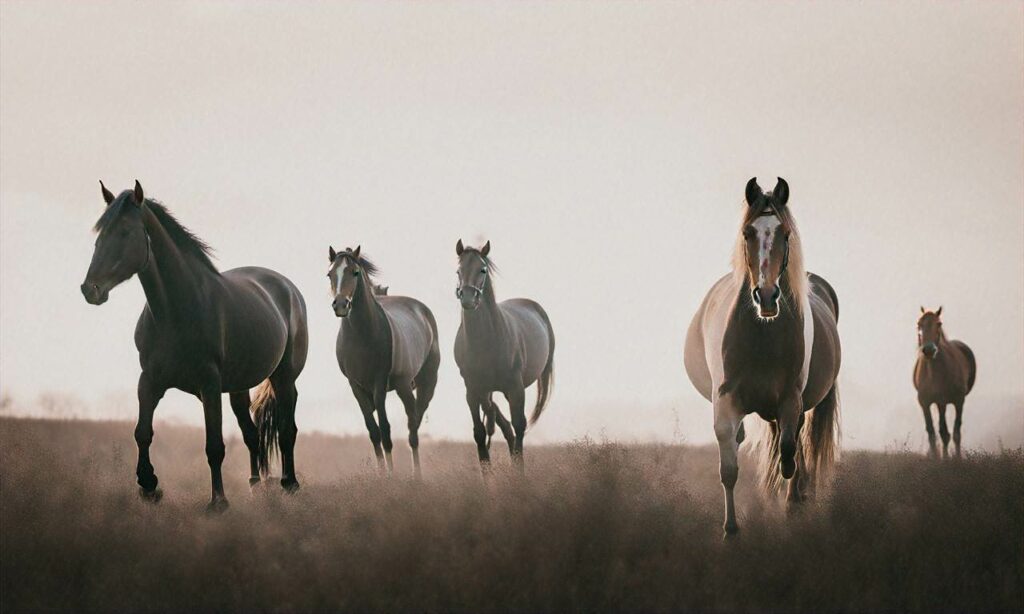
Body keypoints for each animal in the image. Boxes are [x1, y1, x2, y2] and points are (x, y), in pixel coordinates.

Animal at [80, 180, 307, 511]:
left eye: (124, 231)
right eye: (100, 233)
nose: (90, 289)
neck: (176, 310)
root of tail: (287, 288)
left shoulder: (209, 385)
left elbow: (214, 446)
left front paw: (218, 502)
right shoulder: (149, 381)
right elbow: (142, 433)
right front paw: (149, 486)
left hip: (284, 377)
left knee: (287, 429)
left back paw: (290, 484)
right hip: (239, 387)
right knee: (251, 434)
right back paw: (256, 485)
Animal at [327, 244, 440, 474]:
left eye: (355, 272)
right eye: (330, 274)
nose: (340, 305)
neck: (362, 335)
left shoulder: (379, 384)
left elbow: (386, 430)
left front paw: (391, 475)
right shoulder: (356, 386)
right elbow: (374, 431)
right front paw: (381, 475)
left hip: (418, 384)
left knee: (413, 425)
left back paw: (417, 474)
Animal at [454, 237, 557, 472]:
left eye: (482, 269)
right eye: (458, 271)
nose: (468, 299)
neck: (486, 342)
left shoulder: (515, 387)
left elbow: (519, 426)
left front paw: (519, 473)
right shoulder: (473, 390)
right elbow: (479, 432)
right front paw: (487, 474)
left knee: (513, 427)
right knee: (502, 425)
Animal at [684, 177, 843, 536]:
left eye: (785, 233)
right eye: (748, 233)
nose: (767, 296)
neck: (762, 338)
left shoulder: (790, 400)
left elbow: (789, 455)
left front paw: (793, 501)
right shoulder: (725, 401)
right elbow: (729, 466)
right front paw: (730, 529)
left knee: (792, 446)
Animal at [917, 307, 978, 456]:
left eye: (939, 324)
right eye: (918, 324)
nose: (929, 350)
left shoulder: (945, 401)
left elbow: (949, 433)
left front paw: (951, 459)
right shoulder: (925, 403)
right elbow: (932, 432)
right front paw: (935, 457)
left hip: (957, 402)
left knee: (954, 432)